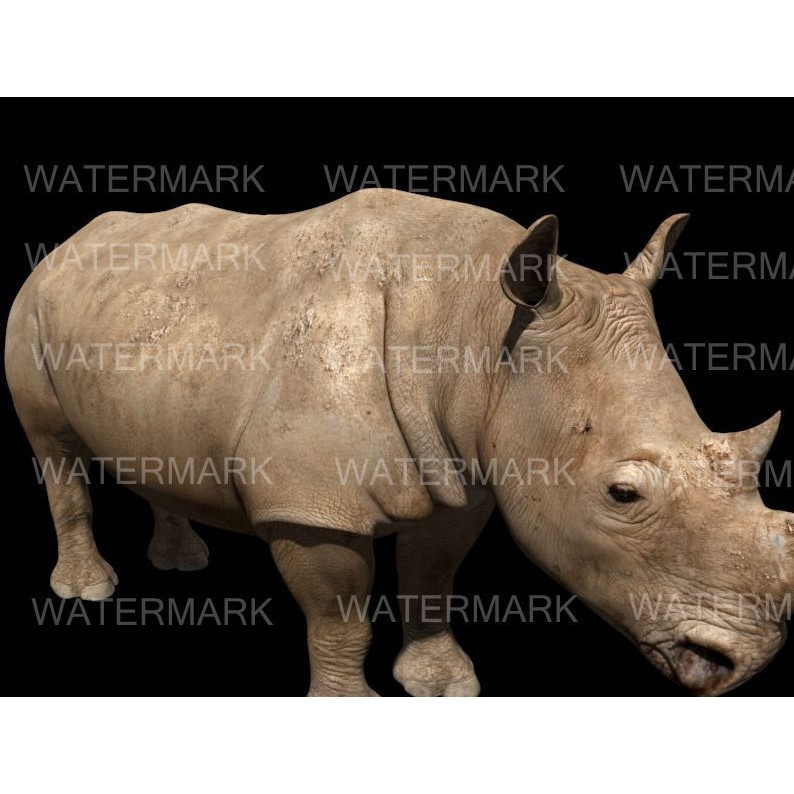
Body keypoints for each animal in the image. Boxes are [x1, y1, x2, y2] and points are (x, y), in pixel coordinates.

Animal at [6, 188, 793, 696]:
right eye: (622, 494)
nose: (744, 664)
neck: (476, 325)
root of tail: (72, 240)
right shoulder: (313, 504)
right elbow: (339, 615)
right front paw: (348, 707)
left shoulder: (461, 473)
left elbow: (432, 572)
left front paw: (443, 685)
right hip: (34, 301)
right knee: (53, 448)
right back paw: (88, 591)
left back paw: (183, 564)